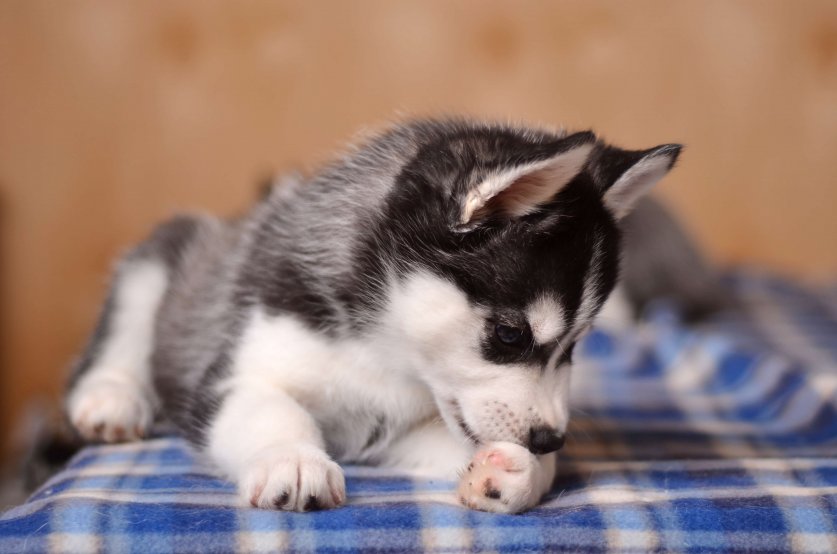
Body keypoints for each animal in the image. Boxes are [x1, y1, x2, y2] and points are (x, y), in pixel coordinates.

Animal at [65, 118, 680, 512]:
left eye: (576, 345)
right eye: (510, 335)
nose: (550, 438)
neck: (383, 352)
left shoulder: (397, 431)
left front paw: (518, 472)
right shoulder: (236, 374)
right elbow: (272, 413)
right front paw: (293, 459)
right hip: (160, 258)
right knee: (124, 330)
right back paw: (112, 398)